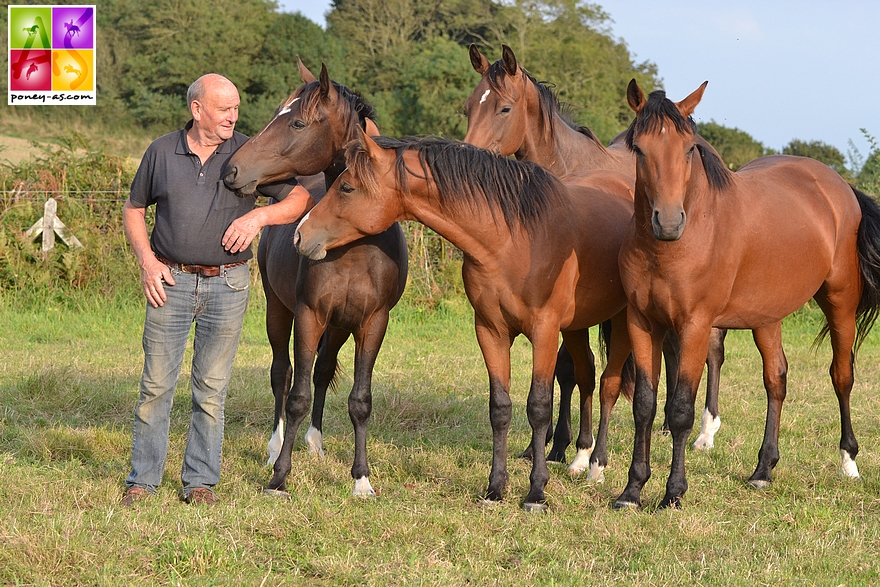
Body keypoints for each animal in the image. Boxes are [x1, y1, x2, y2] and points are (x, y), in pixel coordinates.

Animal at [223, 59, 410, 498]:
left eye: (297, 122)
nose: (232, 169)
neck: (353, 247)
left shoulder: (372, 322)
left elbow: (360, 399)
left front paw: (361, 480)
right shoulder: (309, 315)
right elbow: (296, 395)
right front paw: (279, 477)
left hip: (339, 325)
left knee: (323, 370)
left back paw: (315, 442)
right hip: (279, 312)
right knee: (282, 372)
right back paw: (275, 446)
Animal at [292, 132, 636, 510]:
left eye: (347, 187)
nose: (300, 235)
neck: (514, 239)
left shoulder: (544, 332)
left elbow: (538, 407)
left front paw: (535, 493)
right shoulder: (490, 331)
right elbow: (500, 408)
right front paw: (495, 489)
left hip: (621, 323)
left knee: (608, 385)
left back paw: (597, 466)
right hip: (575, 327)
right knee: (587, 375)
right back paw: (580, 458)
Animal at [464, 44, 724, 478]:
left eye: (504, 108)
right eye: (469, 106)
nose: (467, 154)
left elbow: (581, 371)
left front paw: (576, 449)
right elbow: (568, 370)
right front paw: (549, 446)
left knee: (711, 352)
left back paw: (705, 432)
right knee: (671, 353)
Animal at [616, 78, 880, 510]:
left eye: (689, 148)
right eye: (638, 148)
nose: (668, 222)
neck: (671, 248)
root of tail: (840, 187)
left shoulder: (694, 326)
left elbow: (681, 410)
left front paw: (673, 493)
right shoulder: (642, 322)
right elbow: (645, 405)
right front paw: (631, 490)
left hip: (840, 302)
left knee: (842, 376)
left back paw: (849, 463)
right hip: (766, 318)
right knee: (776, 379)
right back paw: (763, 470)